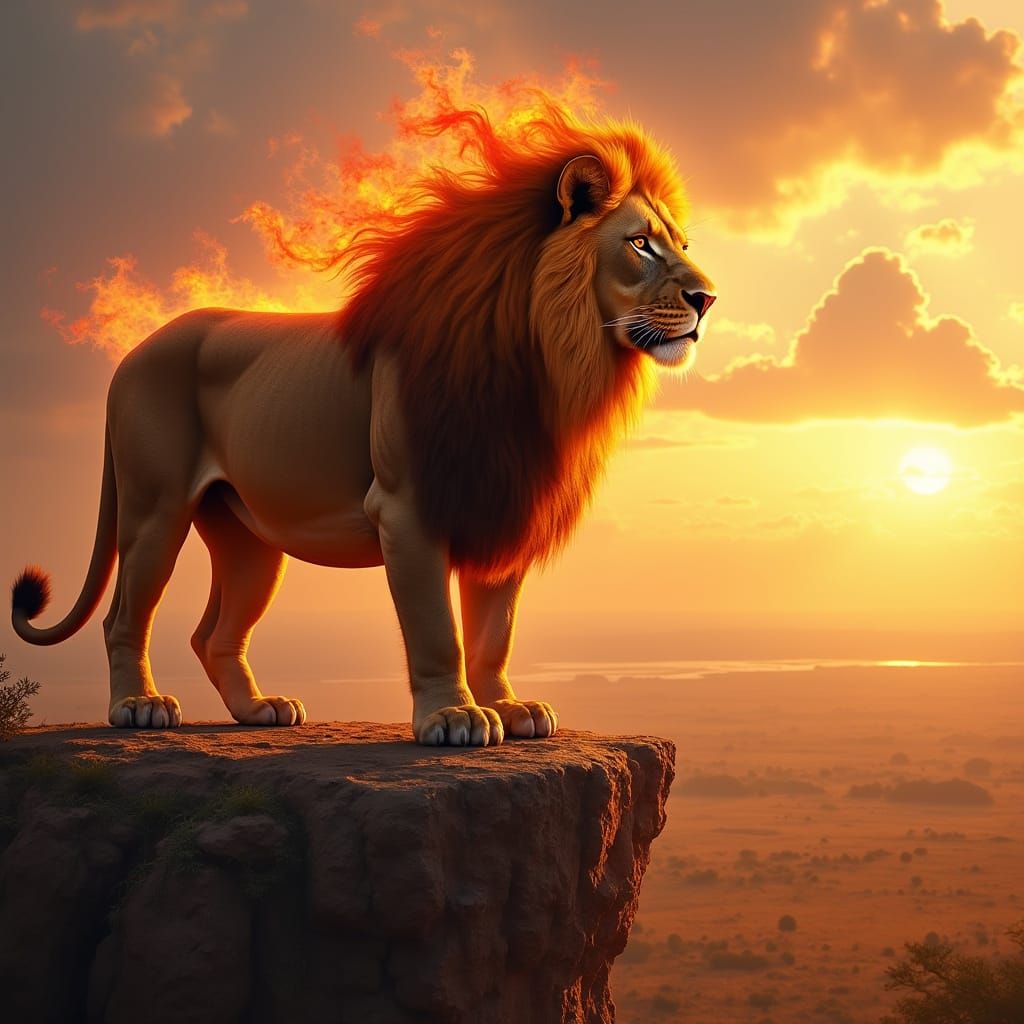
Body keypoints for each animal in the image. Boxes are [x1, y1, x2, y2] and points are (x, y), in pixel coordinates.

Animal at [11, 105, 715, 745]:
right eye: (639, 243)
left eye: (680, 245)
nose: (707, 298)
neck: (547, 358)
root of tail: (132, 353)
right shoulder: (408, 509)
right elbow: (438, 631)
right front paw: (453, 717)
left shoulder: (499, 498)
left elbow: (495, 632)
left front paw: (510, 710)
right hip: (155, 509)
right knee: (123, 616)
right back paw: (138, 707)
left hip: (250, 539)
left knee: (212, 634)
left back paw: (259, 709)